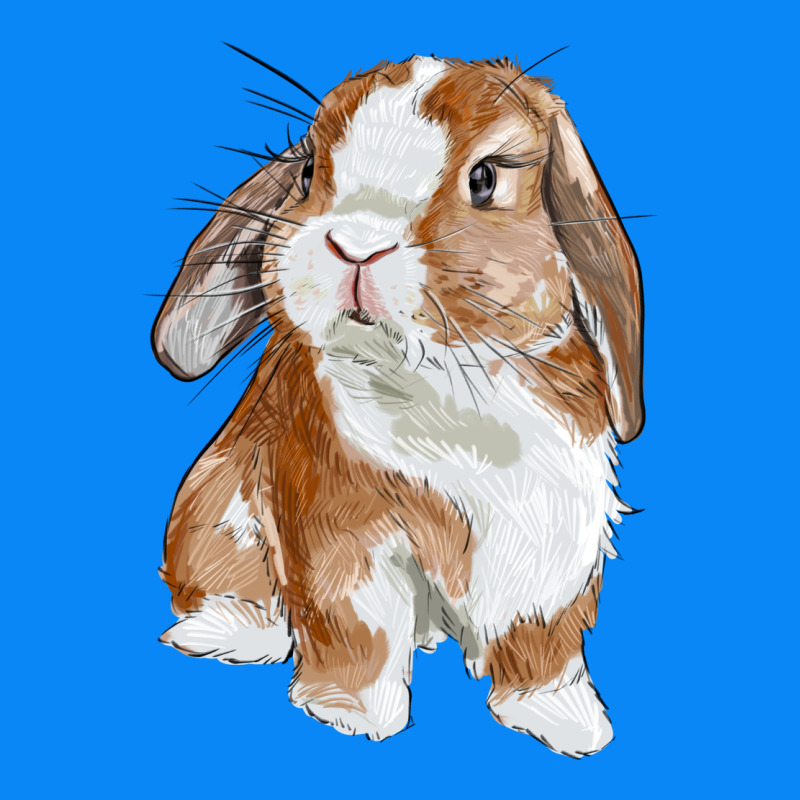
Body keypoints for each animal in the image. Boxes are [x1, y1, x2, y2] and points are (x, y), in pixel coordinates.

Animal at [153, 54, 644, 758]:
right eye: (308, 172)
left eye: (486, 178)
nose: (357, 245)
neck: (444, 385)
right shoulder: (340, 532)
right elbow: (359, 628)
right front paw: (353, 717)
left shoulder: (552, 532)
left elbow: (541, 632)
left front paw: (567, 721)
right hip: (212, 503)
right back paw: (233, 633)